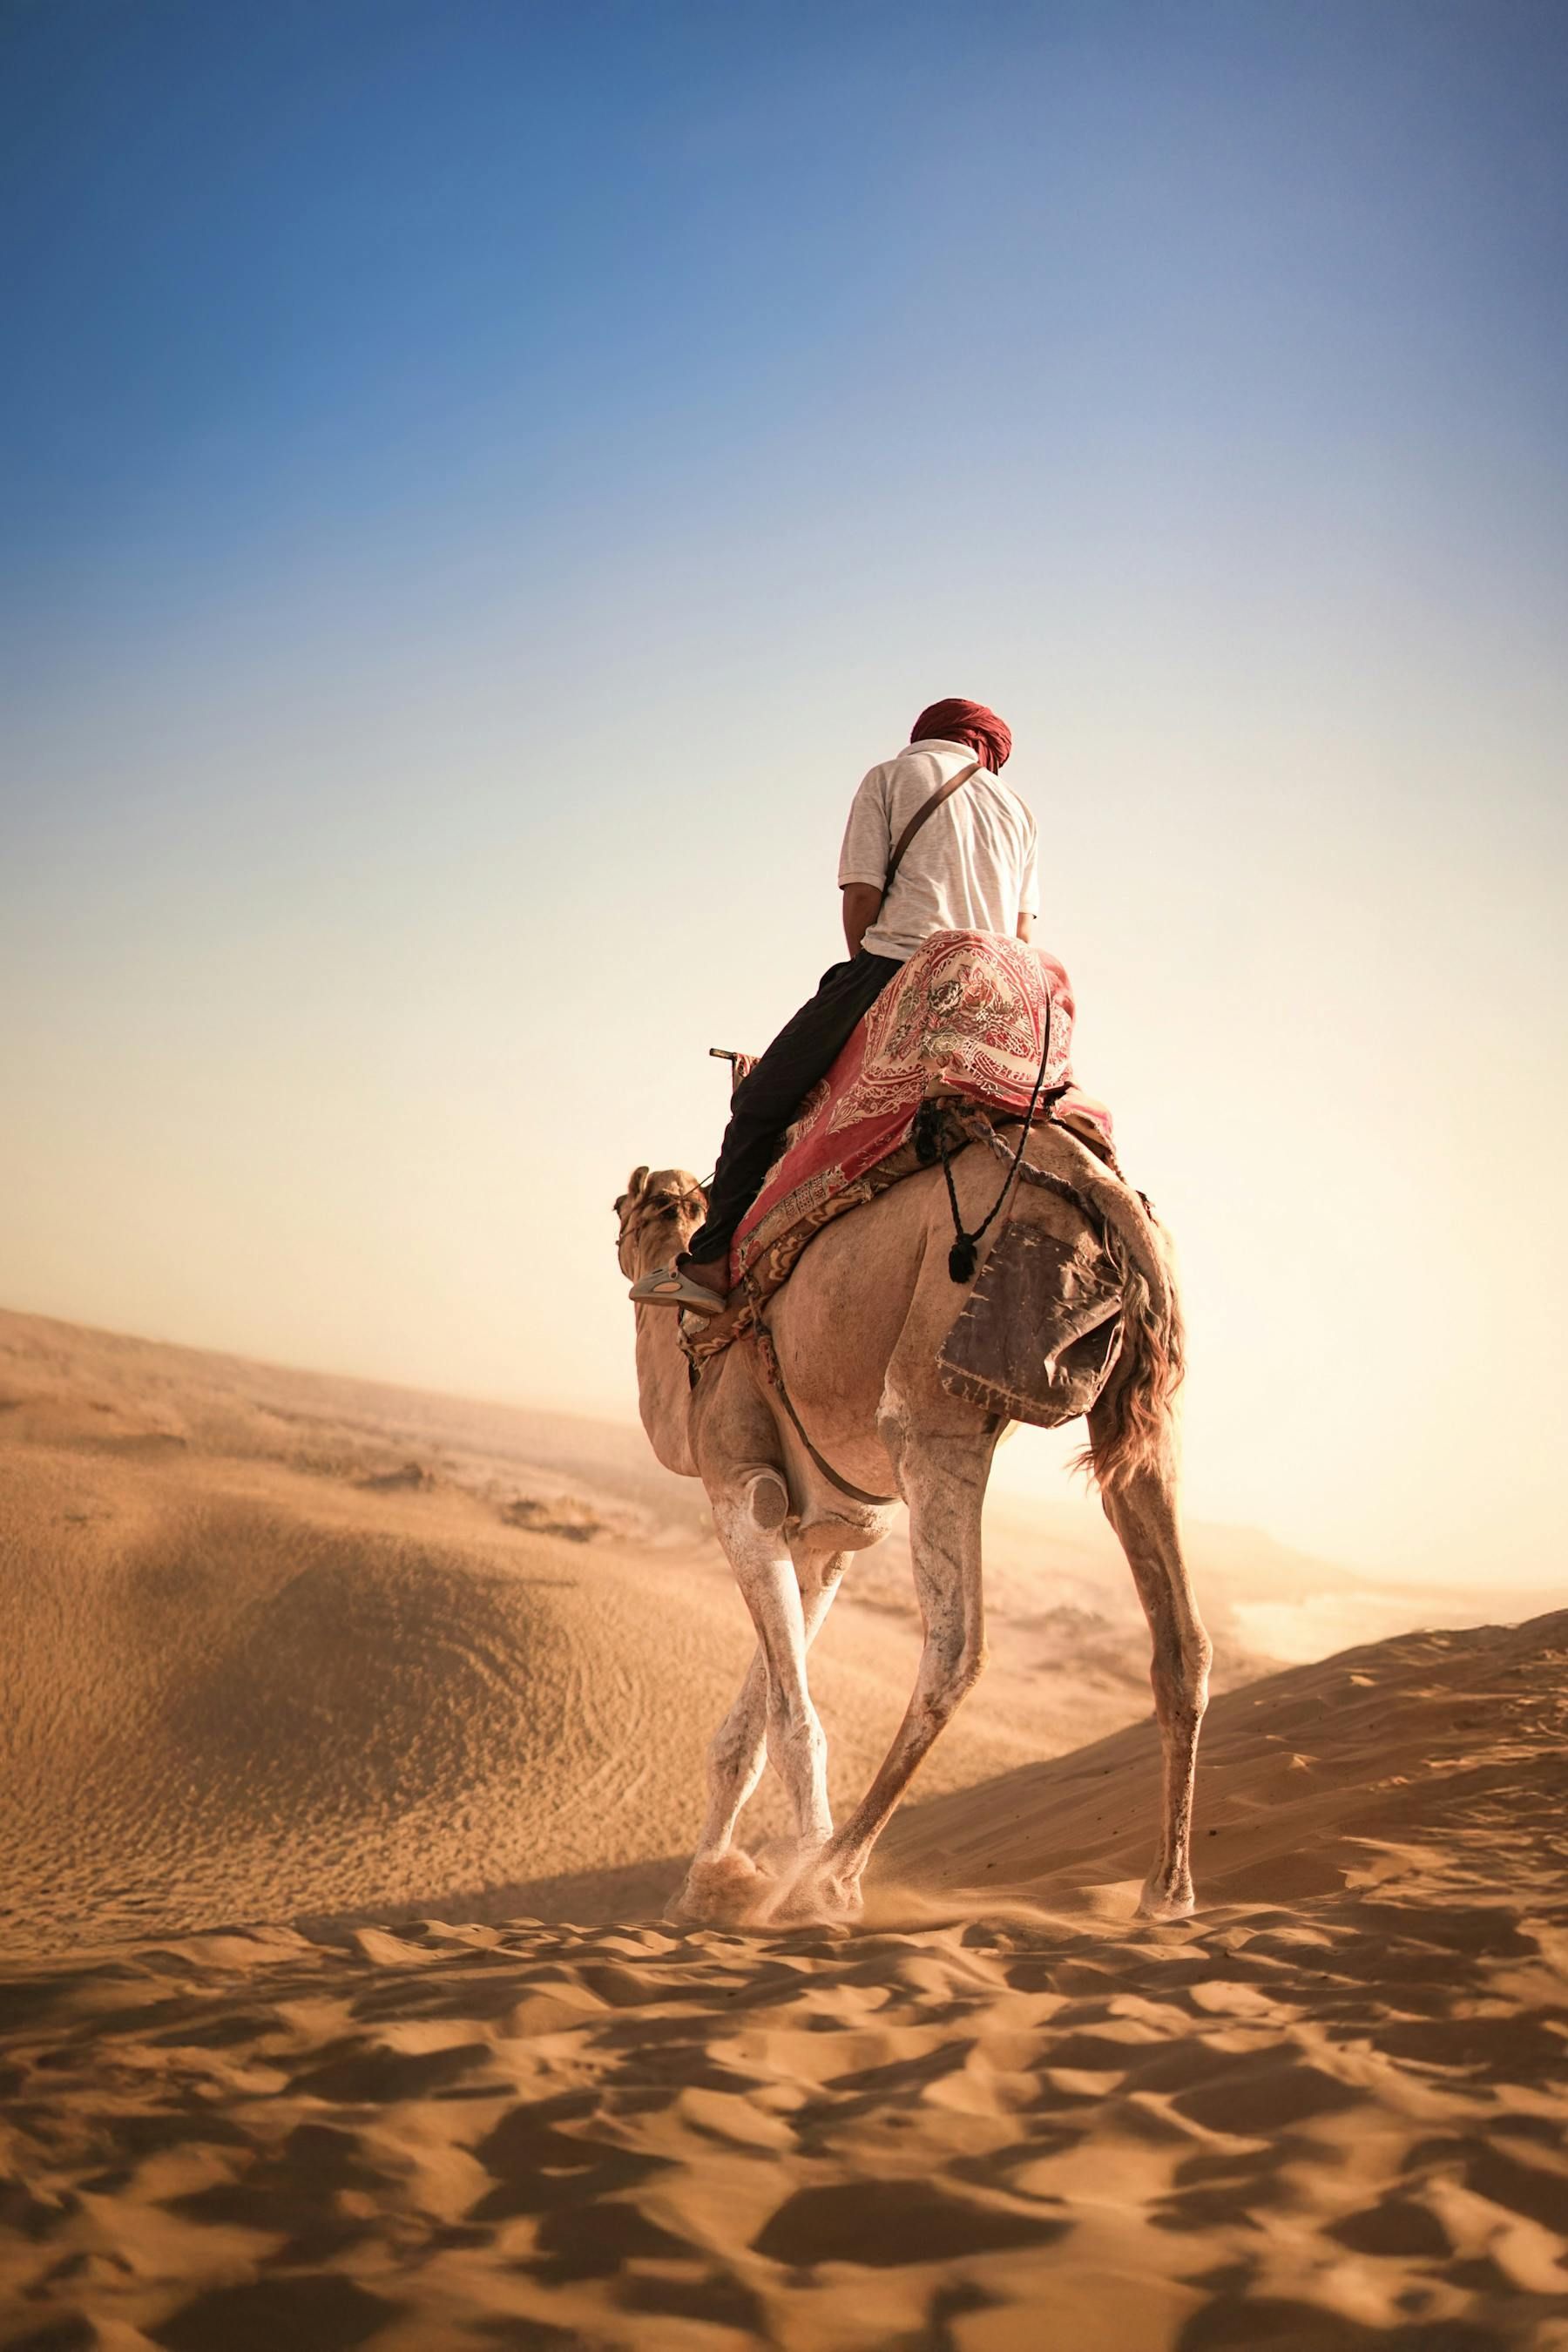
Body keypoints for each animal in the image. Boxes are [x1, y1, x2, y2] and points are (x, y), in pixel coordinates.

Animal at [614, 1119, 1210, 1930]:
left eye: (621, 1205)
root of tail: (1102, 1186)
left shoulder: (742, 1485)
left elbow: (793, 1718)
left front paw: (775, 1880)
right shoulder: (828, 1532)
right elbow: (747, 1733)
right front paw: (703, 1888)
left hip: (933, 1395)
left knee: (957, 1649)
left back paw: (829, 1881)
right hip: (1140, 1417)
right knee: (1183, 1638)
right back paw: (1167, 1894)